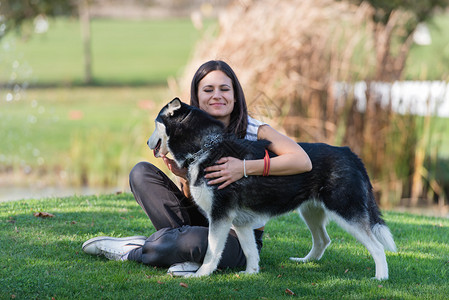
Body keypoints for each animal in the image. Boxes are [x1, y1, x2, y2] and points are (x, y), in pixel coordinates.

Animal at [147, 98, 396, 278]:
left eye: (155, 123)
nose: (148, 143)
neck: (205, 147)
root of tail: (349, 152)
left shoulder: (220, 216)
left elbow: (212, 250)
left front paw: (201, 274)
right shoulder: (240, 222)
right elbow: (250, 251)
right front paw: (251, 273)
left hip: (345, 212)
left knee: (377, 247)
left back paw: (380, 278)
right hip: (310, 211)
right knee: (323, 240)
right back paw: (305, 262)